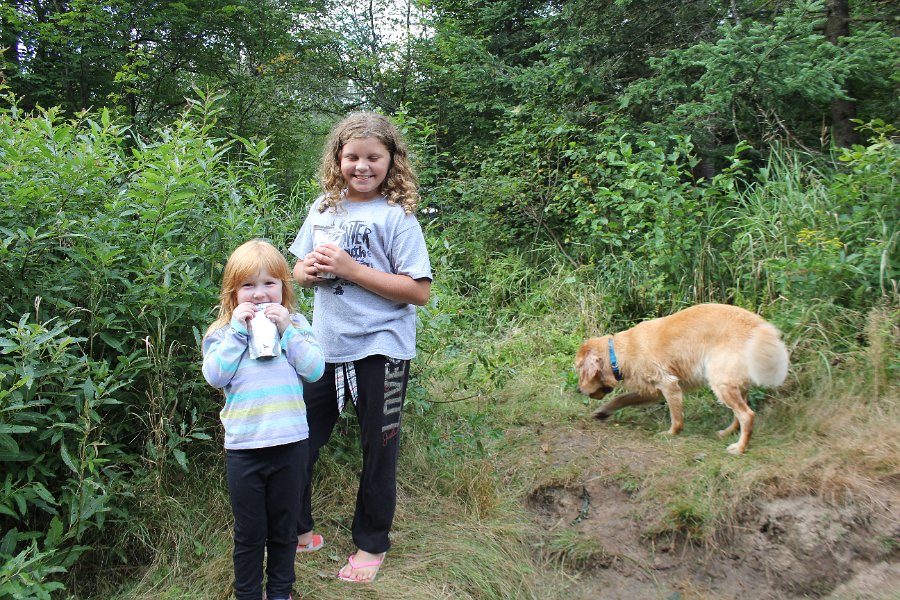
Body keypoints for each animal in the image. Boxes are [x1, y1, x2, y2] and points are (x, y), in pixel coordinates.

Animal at [574, 303, 789, 454]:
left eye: (578, 369)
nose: (578, 390)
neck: (617, 353)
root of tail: (759, 327)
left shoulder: (668, 384)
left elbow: (676, 418)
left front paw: (671, 434)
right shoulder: (652, 391)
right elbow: (622, 398)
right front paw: (603, 411)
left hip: (720, 382)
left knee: (747, 415)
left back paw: (739, 448)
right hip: (733, 385)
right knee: (740, 416)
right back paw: (726, 433)